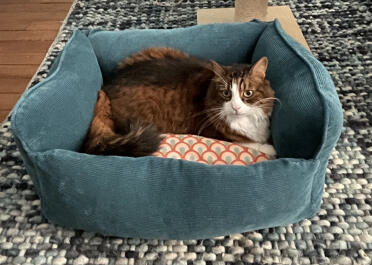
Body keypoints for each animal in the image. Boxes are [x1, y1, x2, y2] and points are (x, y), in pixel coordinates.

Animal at [83, 46, 276, 157]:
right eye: (226, 93)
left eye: (247, 93)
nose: (236, 107)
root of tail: (106, 87)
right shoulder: (211, 132)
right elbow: (247, 143)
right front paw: (269, 149)